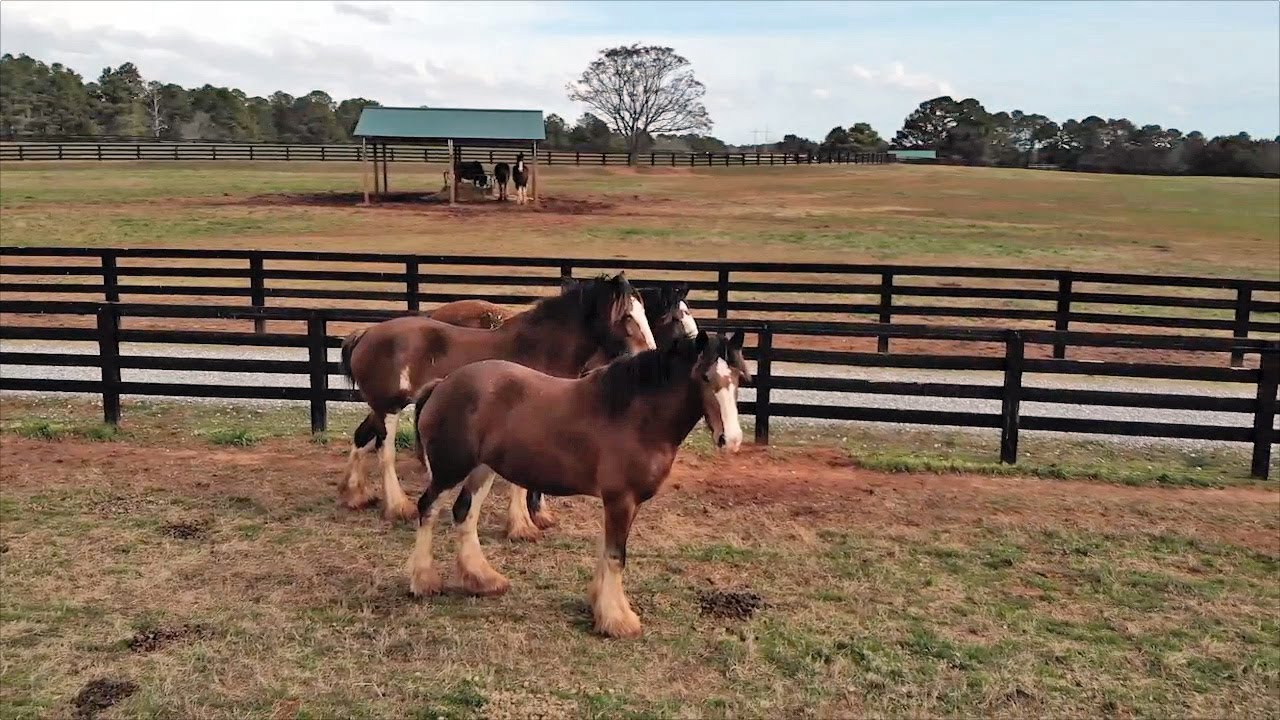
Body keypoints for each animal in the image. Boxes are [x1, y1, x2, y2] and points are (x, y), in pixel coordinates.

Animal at [338, 273, 656, 522]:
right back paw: (397, 506)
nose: (649, 354)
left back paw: (355, 496)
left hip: (380, 407)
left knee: (362, 437)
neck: (540, 349)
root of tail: (365, 334)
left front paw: (538, 515)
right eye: (626, 315)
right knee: (385, 452)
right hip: (389, 408)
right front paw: (526, 521)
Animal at [405, 330, 750, 638]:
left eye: (738, 377)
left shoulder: (626, 503)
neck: (636, 415)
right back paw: (423, 582)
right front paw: (618, 621)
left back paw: (481, 579)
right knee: (428, 509)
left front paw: (600, 606)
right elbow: (616, 556)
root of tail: (442, 384)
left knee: (465, 514)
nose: (731, 439)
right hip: (450, 470)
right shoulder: (620, 499)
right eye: (704, 377)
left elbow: (607, 551)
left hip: (482, 470)